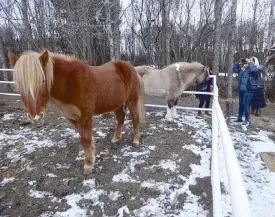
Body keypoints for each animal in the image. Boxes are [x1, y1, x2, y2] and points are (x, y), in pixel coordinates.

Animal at [7, 50, 147, 174]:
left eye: (43, 81)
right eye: (19, 84)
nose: (36, 117)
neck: (71, 82)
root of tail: (131, 67)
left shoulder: (86, 116)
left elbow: (85, 139)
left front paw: (88, 165)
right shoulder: (71, 116)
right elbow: (83, 138)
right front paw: (92, 154)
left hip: (132, 100)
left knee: (135, 118)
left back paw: (136, 140)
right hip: (116, 102)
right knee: (120, 117)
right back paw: (116, 138)